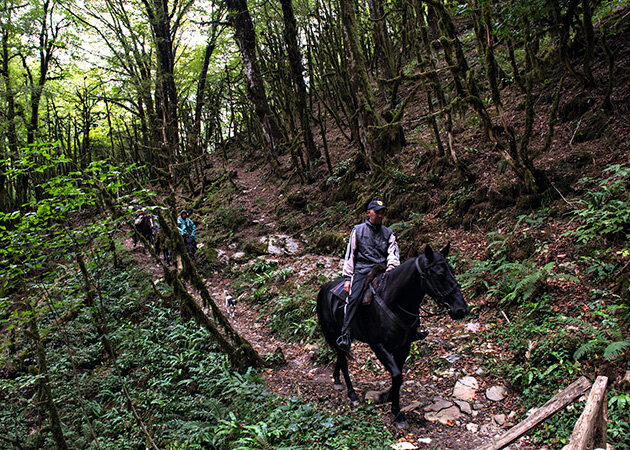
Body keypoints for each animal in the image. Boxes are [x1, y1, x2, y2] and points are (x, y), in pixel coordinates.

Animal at [320, 244, 470, 428]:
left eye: (453, 271)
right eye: (440, 274)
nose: (461, 309)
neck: (394, 301)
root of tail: (325, 288)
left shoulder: (404, 346)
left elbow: (398, 375)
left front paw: (387, 397)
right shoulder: (378, 346)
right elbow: (397, 375)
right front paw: (397, 413)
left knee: (340, 357)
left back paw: (336, 379)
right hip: (334, 333)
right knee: (343, 360)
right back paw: (352, 394)